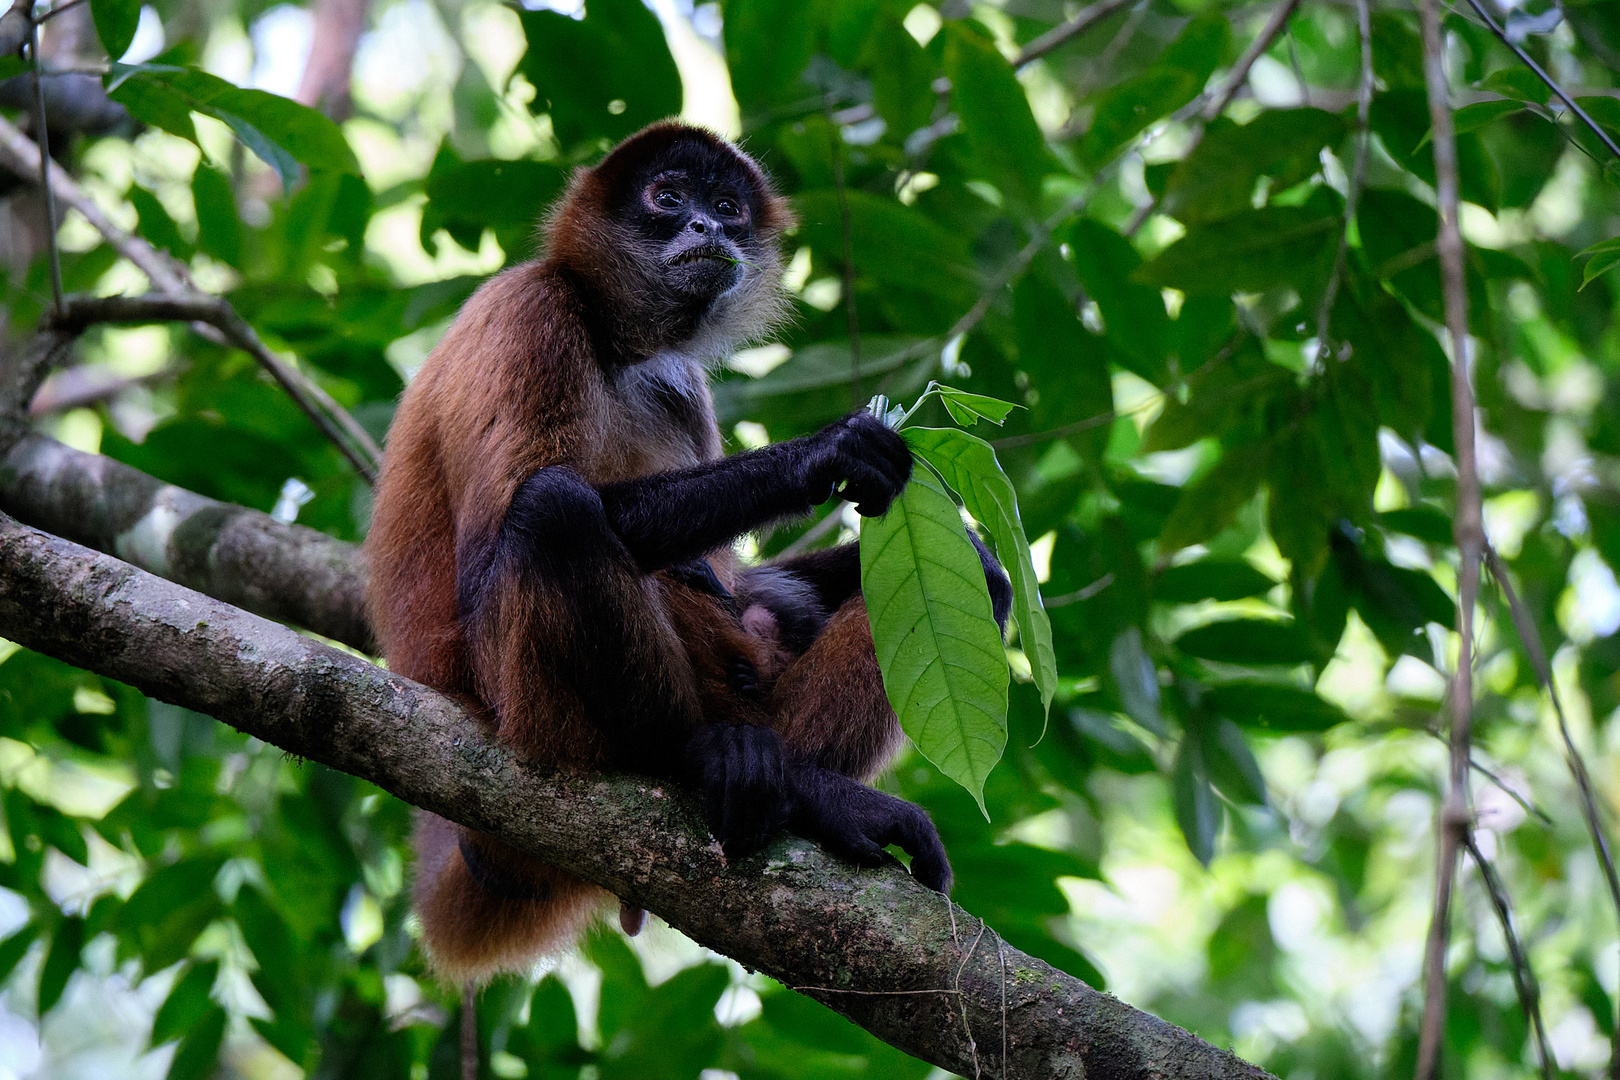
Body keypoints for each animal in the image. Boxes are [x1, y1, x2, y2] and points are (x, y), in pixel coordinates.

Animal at [367, 122, 1010, 984]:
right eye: (668, 198)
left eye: (726, 207)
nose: (706, 226)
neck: (616, 345)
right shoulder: (528, 308)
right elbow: (500, 541)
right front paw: (820, 456)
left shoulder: (679, 385)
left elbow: (740, 582)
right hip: (527, 702)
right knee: (554, 510)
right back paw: (721, 768)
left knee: (974, 578)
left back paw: (802, 788)